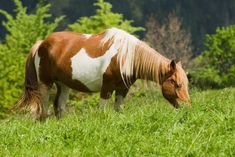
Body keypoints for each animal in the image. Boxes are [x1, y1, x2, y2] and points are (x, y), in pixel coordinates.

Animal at [16, 27, 189, 120]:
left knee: (59, 106)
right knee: (44, 107)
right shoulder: (106, 88)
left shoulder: (122, 89)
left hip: (63, 84)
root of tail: (41, 43)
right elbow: (102, 111)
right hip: (45, 83)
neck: (126, 56)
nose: (187, 107)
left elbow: (118, 109)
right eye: (177, 84)